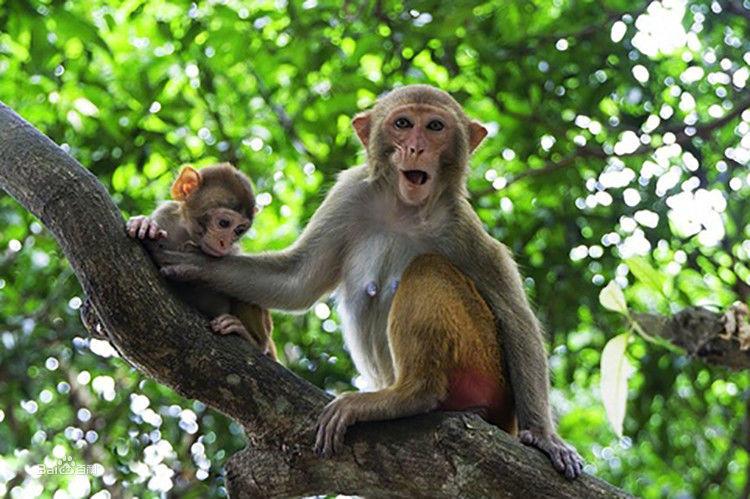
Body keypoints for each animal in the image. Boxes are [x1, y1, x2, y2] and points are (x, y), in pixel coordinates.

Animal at [128, 164, 278, 360]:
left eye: (239, 230)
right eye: (224, 223)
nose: (224, 243)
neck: (188, 234)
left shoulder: (233, 252)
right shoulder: (166, 214)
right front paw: (143, 223)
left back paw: (251, 339)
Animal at [162, 86, 588, 480]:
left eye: (435, 127)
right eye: (403, 124)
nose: (415, 147)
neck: (405, 208)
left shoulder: (460, 224)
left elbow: (515, 317)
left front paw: (544, 437)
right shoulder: (350, 193)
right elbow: (296, 281)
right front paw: (191, 263)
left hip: (486, 366)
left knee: (428, 269)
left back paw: (411, 395)